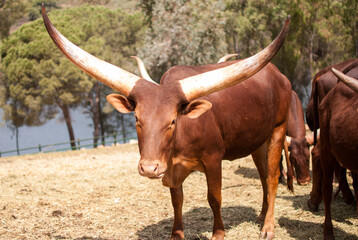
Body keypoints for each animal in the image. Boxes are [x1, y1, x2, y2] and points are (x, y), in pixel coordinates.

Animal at [42, 5, 292, 238]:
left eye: (172, 121)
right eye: (136, 118)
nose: (149, 168)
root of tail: (279, 75)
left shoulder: (213, 159)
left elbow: (214, 197)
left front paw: (218, 233)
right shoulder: (171, 167)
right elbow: (177, 200)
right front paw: (176, 233)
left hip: (278, 129)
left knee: (272, 177)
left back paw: (268, 227)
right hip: (257, 141)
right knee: (263, 175)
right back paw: (261, 215)